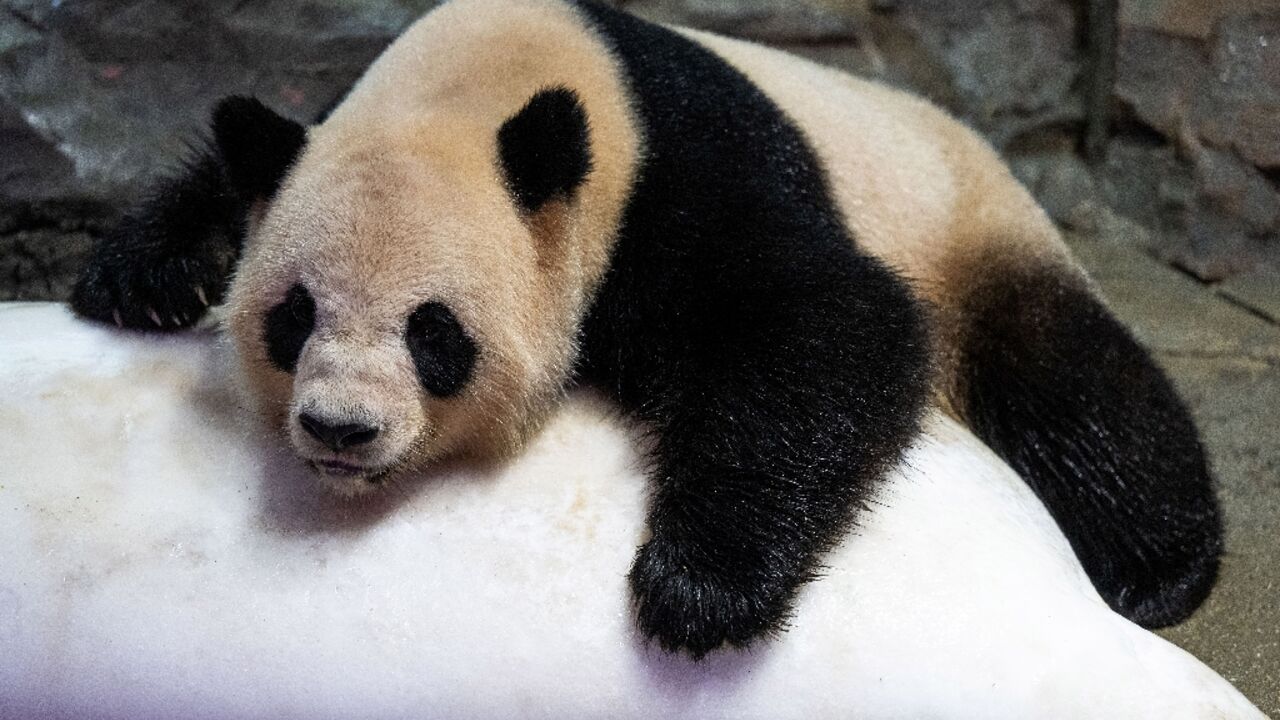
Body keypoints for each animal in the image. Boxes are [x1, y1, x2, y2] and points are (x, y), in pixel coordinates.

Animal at [71, 0, 1222, 659]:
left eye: (433, 333)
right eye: (293, 316)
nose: (340, 430)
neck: (480, 84)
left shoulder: (671, 172)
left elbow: (826, 320)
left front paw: (698, 589)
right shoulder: (345, 111)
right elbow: (242, 163)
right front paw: (139, 275)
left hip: (962, 221)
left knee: (1072, 382)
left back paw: (1158, 568)